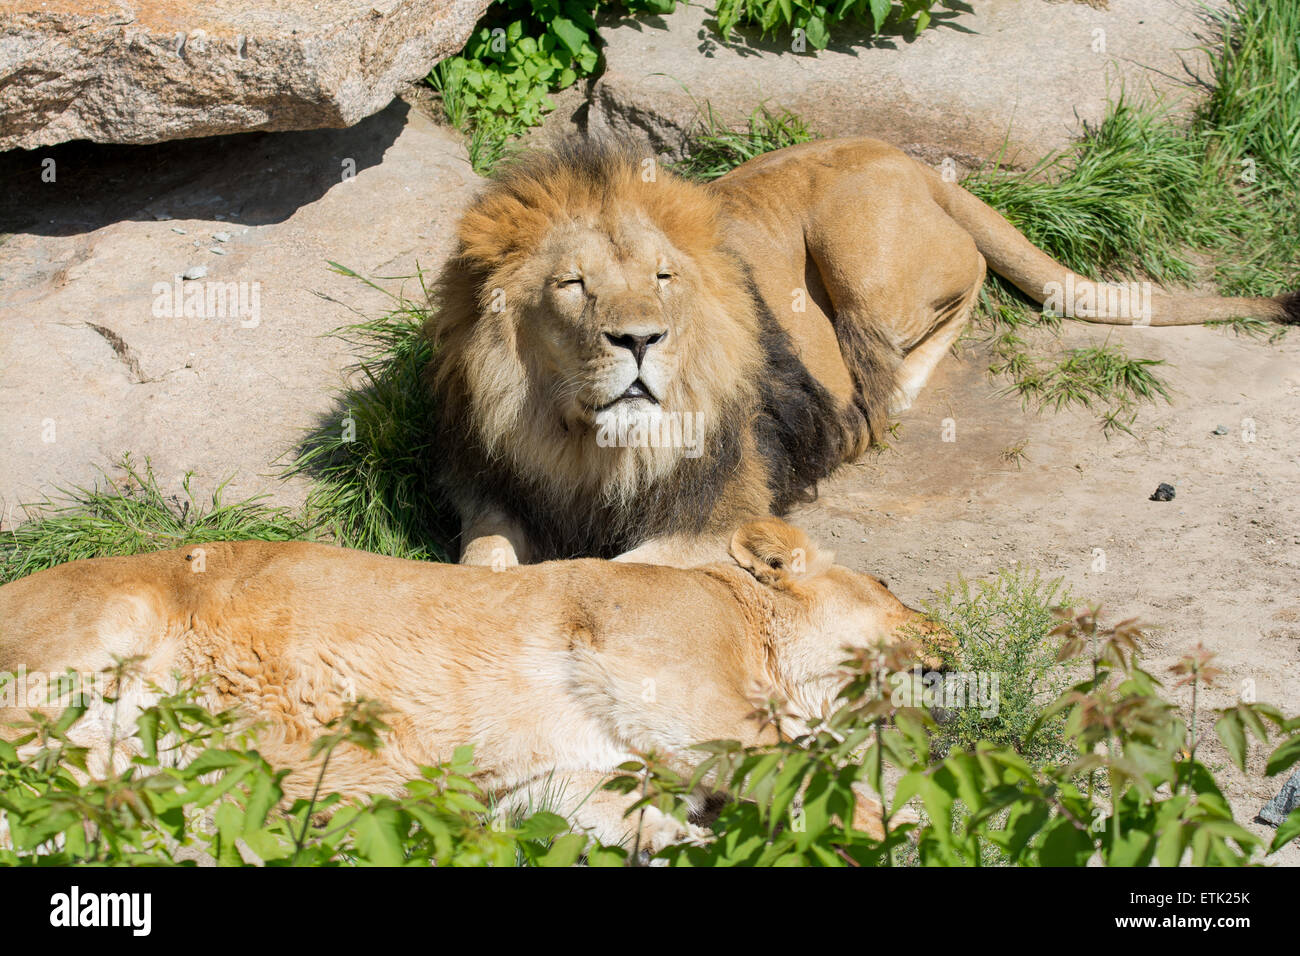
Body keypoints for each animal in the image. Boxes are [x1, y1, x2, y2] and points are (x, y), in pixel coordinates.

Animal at [0, 520, 935, 848]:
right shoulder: (663, 667)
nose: (944, 637)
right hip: (104, 624)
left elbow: (626, 818)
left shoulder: (553, 778)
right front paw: (902, 829)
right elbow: (808, 770)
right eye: (890, 584)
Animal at [431, 138, 1294, 564]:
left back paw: (884, 399)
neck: (588, 445)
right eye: (574, 285)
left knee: (967, 285)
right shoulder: (489, 492)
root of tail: (905, 156)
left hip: (855, 247)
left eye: (663, 277)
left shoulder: (723, 511)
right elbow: (482, 564)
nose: (641, 339)